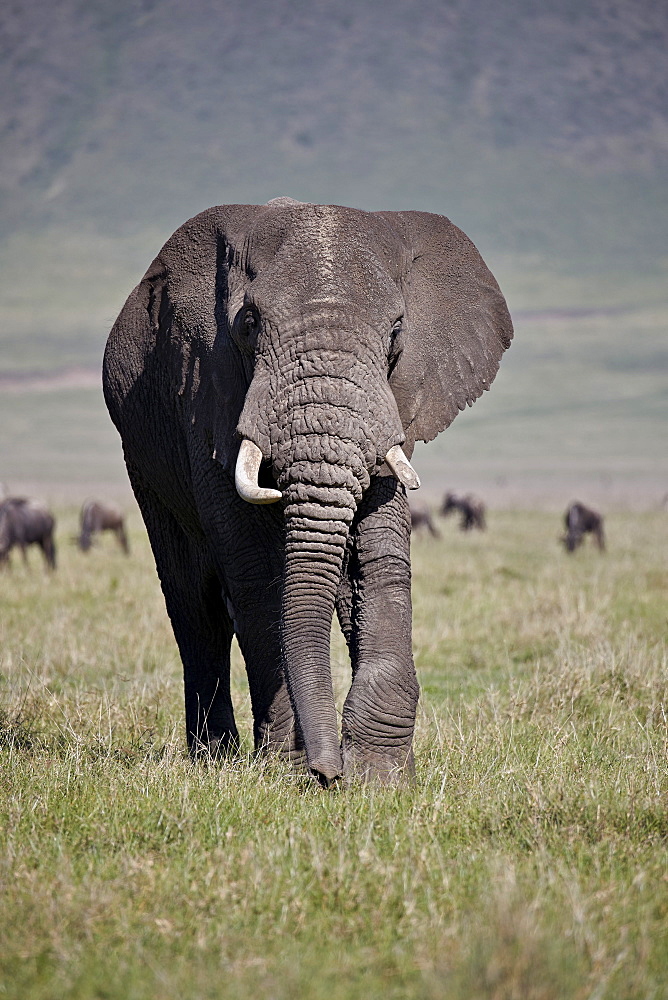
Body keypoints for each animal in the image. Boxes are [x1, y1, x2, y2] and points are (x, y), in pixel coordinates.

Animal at [103, 197, 512, 788]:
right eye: (249, 325)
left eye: (396, 332)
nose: (328, 774)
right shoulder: (206, 393)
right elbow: (256, 573)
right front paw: (288, 769)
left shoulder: (393, 406)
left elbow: (375, 559)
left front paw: (382, 778)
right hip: (144, 456)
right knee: (194, 604)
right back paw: (215, 758)